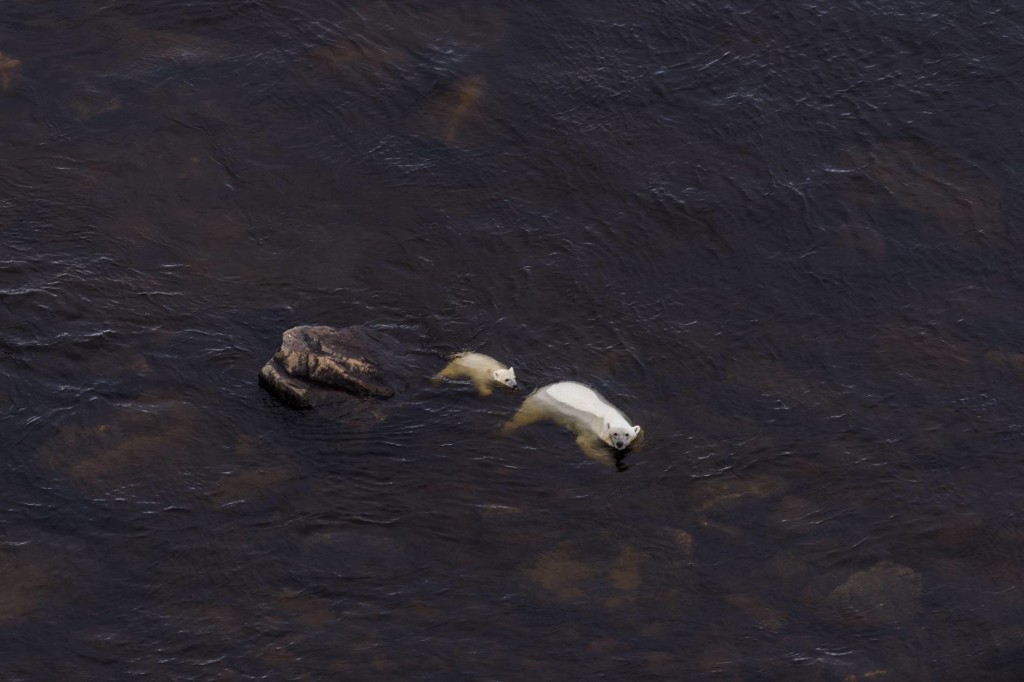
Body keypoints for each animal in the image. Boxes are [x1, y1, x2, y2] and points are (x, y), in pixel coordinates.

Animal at [501, 381, 641, 468]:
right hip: (540, 405)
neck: (609, 416)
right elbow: (584, 443)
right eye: (615, 433)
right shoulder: (590, 429)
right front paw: (607, 459)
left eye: (627, 435)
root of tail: (540, 390)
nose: (620, 444)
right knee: (522, 418)